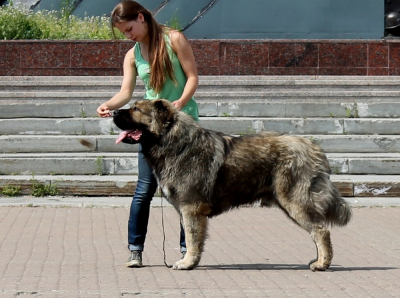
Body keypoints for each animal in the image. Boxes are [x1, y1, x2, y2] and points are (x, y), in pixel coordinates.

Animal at [114, 99, 352, 270]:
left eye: (136, 109)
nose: (113, 112)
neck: (173, 143)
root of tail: (312, 147)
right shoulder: (190, 211)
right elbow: (194, 239)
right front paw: (193, 261)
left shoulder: (191, 208)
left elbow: (191, 238)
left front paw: (186, 263)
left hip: (295, 202)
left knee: (321, 230)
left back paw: (322, 263)